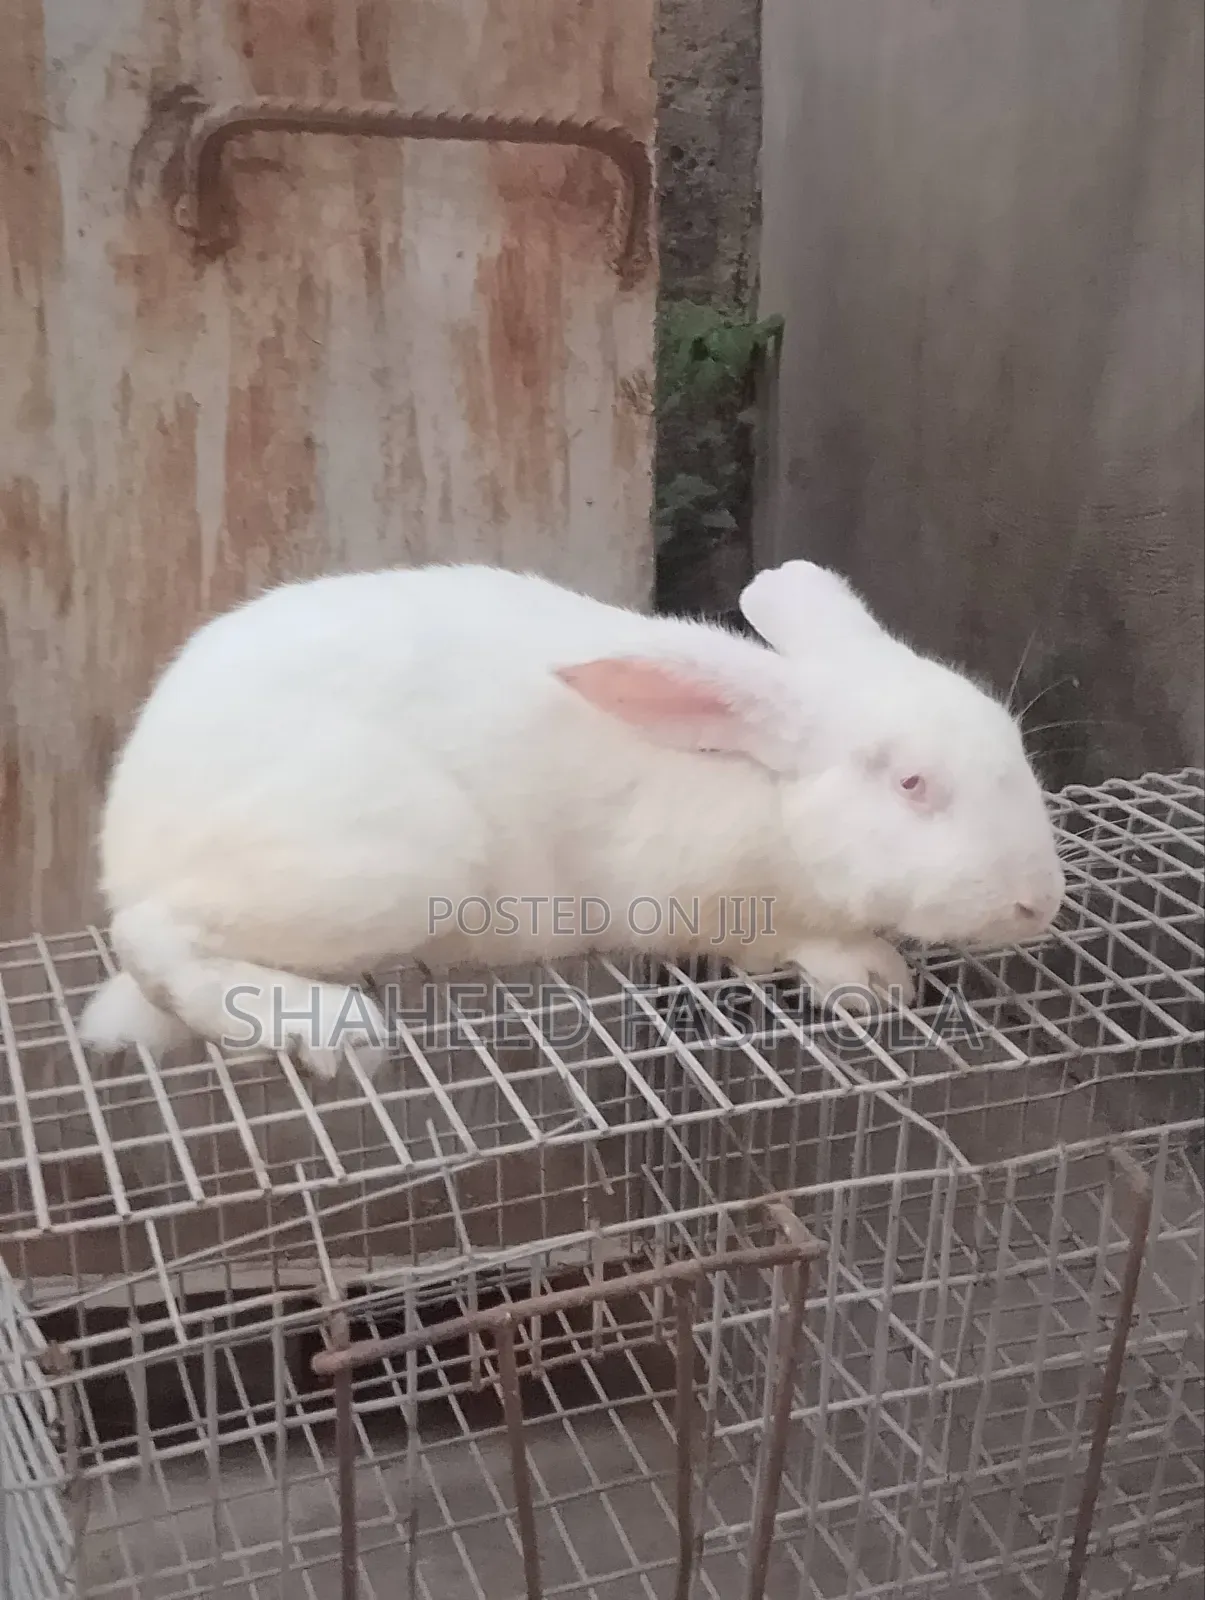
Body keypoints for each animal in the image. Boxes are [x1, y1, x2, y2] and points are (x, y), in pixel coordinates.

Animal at [77, 558, 1066, 1080]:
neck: (769, 795)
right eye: (911, 784)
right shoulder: (709, 903)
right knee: (154, 933)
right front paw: (871, 977)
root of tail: (127, 834)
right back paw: (330, 1030)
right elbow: (791, 943)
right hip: (387, 856)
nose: (1039, 904)